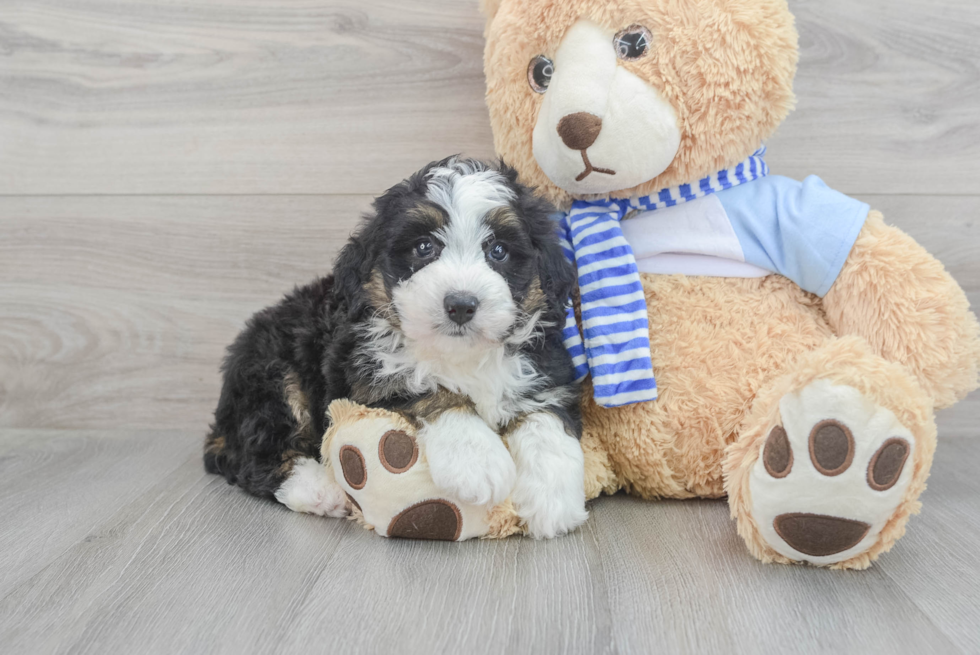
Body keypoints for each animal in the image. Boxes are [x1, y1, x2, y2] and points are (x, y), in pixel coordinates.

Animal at [205, 158, 588, 540]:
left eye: (498, 251)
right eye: (423, 247)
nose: (461, 305)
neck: (461, 355)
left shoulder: (545, 370)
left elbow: (544, 418)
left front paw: (553, 498)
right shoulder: (360, 371)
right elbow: (427, 386)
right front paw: (476, 459)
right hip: (272, 375)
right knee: (252, 453)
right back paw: (319, 488)